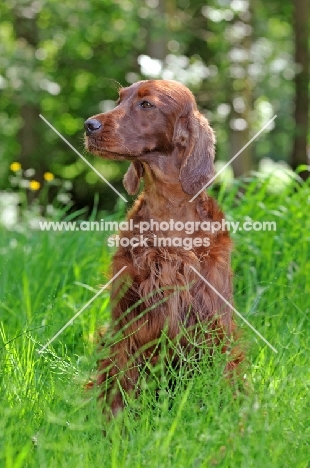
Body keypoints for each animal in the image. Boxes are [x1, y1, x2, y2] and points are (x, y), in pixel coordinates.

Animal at [84, 80, 242, 414]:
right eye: (119, 100)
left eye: (147, 104)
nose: (88, 125)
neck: (170, 212)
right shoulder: (128, 319)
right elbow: (121, 376)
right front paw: (114, 420)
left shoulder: (213, 320)